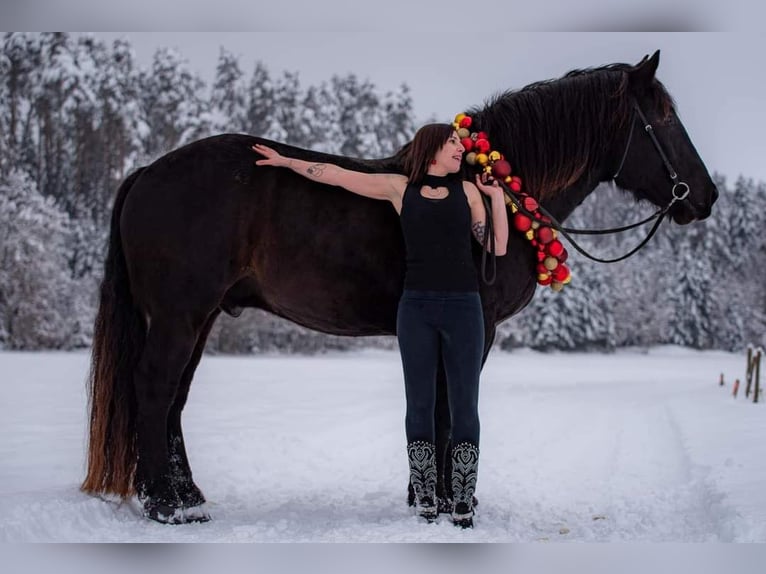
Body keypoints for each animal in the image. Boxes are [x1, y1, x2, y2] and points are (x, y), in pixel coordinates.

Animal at [84, 51, 720, 524]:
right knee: (155, 389)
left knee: (174, 398)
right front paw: (449, 503)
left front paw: (427, 497)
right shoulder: (477, 329)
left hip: (200, 317)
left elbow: (436, 407)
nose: (705, 195)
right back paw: (164, 506)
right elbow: (448, 409)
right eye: (664, 119)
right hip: (179, 317)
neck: (495, 185)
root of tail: (147, 172)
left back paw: (186, 498)